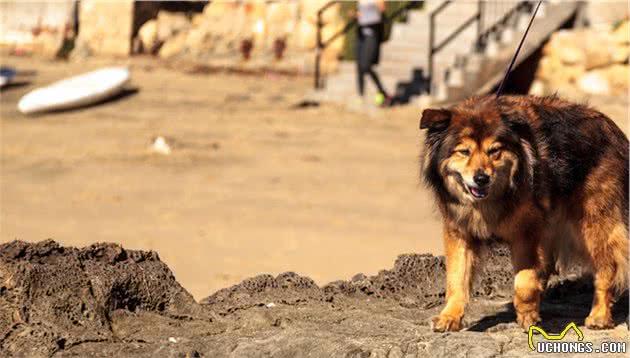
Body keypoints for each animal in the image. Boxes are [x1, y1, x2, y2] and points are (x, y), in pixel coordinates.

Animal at [422, 96, 628, 332]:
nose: (481, 178)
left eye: (494, 150)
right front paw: (450, 316)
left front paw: (527, 314)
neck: (489, 201)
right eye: (463, 152)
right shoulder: (459, 232)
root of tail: (612, 128)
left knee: (607, 267)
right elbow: (457, 278)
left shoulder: (527, 232)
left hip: (592, 224)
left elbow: (524, 281)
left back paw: (599, 316)